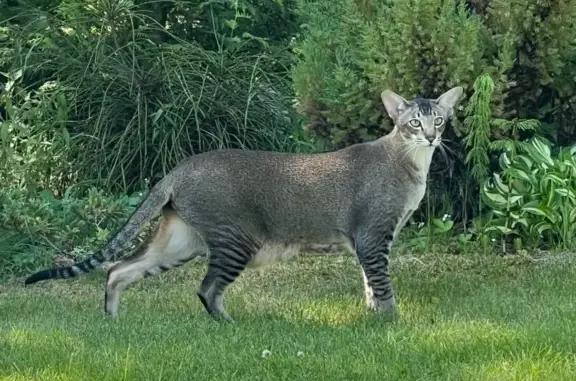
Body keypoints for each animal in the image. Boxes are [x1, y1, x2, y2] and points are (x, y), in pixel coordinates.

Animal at [24, 85, 464, 320]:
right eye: (414, 123)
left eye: (439, 120)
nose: (431, 137)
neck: (411, 164)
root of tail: (180, 168)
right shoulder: (374, 237)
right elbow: (383, 286)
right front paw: (391, 324)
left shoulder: (367, 242)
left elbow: (370, 286)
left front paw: (375, 318)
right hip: (236, 239)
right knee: (206, 289)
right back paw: (229, 325)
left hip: (180, 241)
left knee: (118, 270)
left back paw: (113, 321)